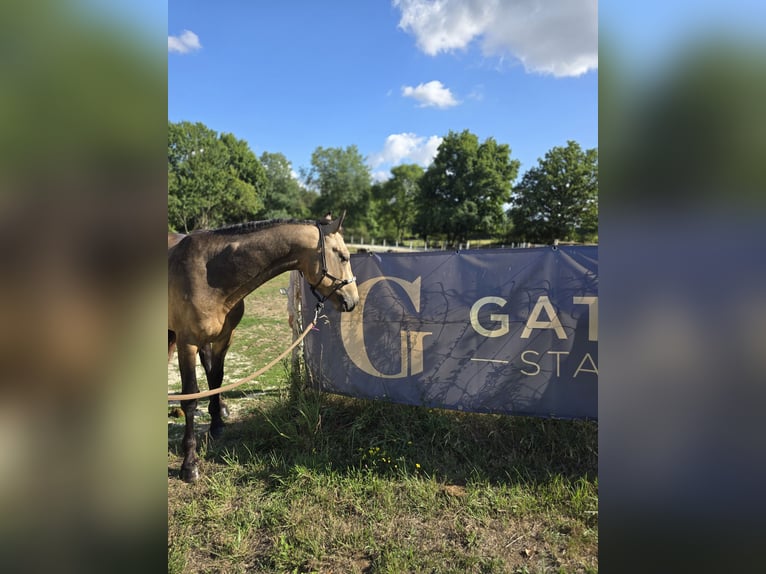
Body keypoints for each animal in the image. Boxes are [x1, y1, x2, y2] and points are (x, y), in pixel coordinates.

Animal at [168, 213, 359, 482]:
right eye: (343, 256)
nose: (353, 300)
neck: (208, 275)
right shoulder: (187, 344)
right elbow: (189, 400)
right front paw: (189, 463)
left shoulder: (224, 338)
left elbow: (216, 378)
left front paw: (217, 423)